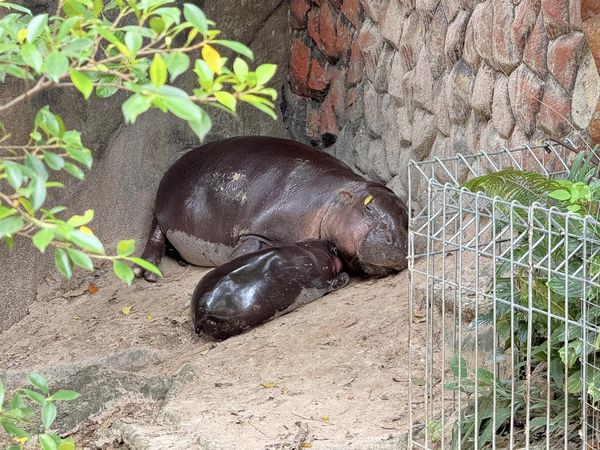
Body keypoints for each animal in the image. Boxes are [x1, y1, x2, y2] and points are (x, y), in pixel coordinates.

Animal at [135, 135, 408, 280]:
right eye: (368, 208)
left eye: (407, 214)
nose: (398, 242)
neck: (332, 200)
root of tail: (173, 166)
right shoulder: (258, 231)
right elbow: (242, 252)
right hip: (160, 214)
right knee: (155, 235)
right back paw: (147, 273)